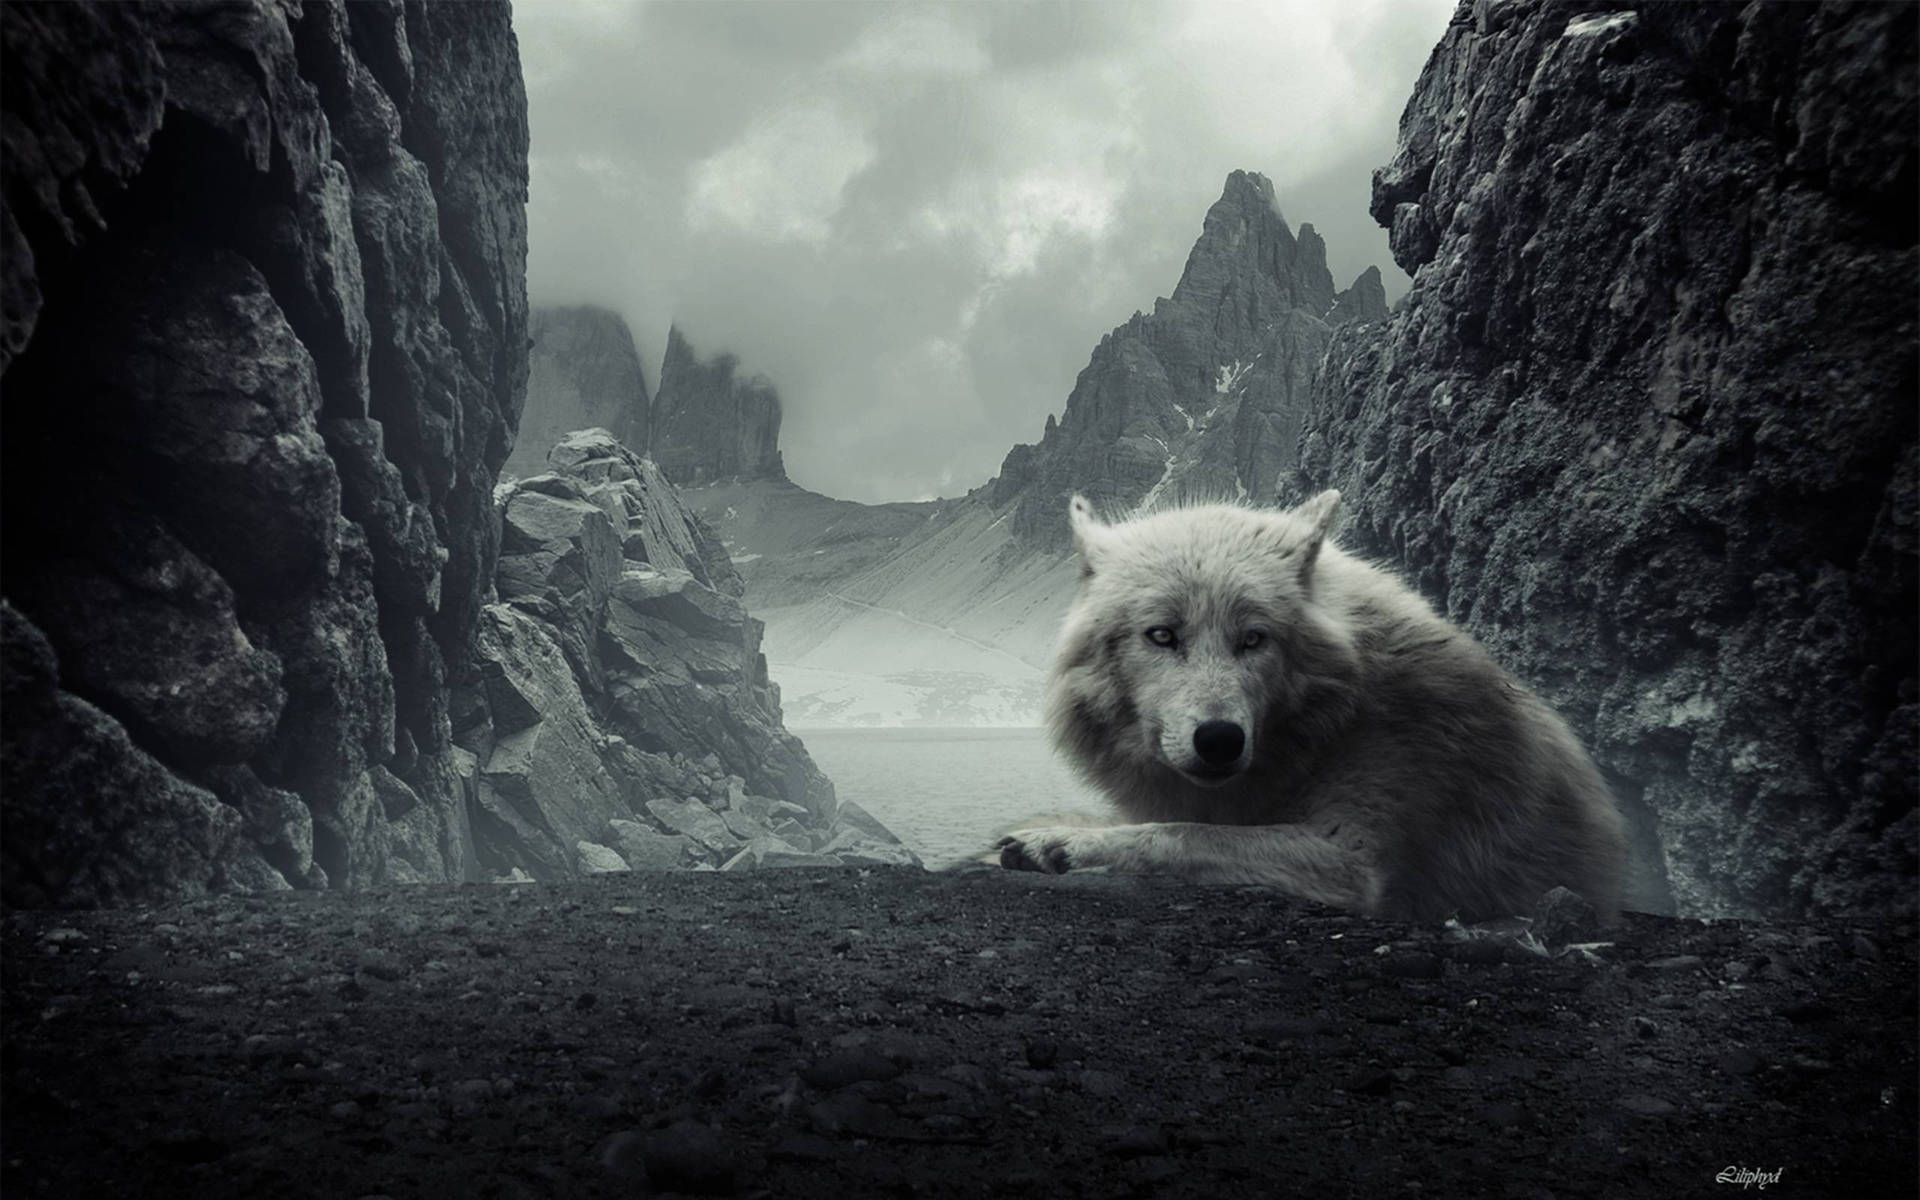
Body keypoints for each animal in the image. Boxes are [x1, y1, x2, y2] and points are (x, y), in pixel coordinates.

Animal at [996, 491, 1627, 923]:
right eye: (1162, 635)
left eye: (1254, 639)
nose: (1219, 740)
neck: (1330, 726)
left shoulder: (1352, 859)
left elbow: (1179, 834)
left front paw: (1060, 842)